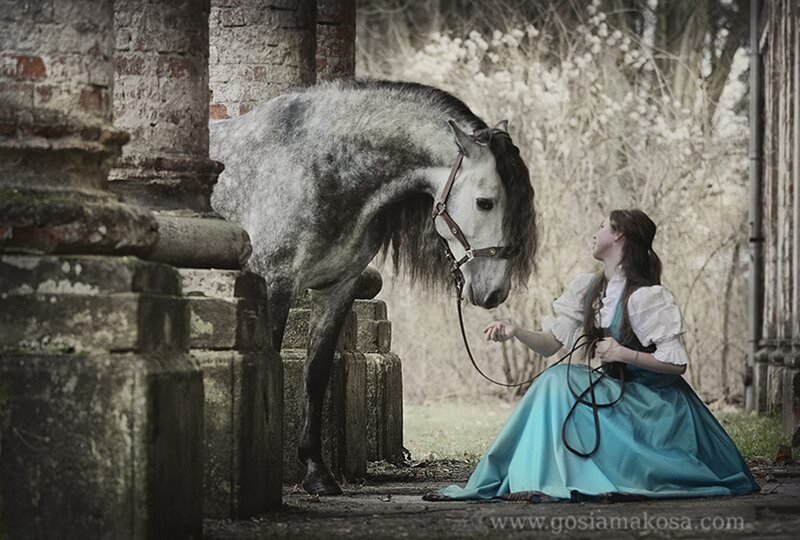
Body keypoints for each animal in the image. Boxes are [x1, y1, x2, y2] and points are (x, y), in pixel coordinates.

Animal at [209, 79, 537, 495]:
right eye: (485, 202)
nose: (495, 291)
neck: (313, 166)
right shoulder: (273, 281)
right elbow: (272, 364)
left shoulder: (338, 289)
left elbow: (315, 375)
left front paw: (316, 473)